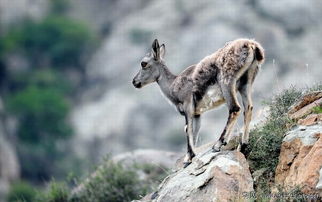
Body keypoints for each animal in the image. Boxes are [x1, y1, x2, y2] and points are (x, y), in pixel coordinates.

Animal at [133, 38, 264, 166]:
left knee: (235, 109)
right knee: (248, 108)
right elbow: (195, 131)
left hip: (227, 82)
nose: (134, 82)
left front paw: (187, 158)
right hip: (245, 83)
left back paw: (218, 144)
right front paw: (191, 157)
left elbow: (188, 130)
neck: (173, 86)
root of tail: (251, 45)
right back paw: (243, 145)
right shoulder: (197, 113)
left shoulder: (187, 105)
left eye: (143, 63)